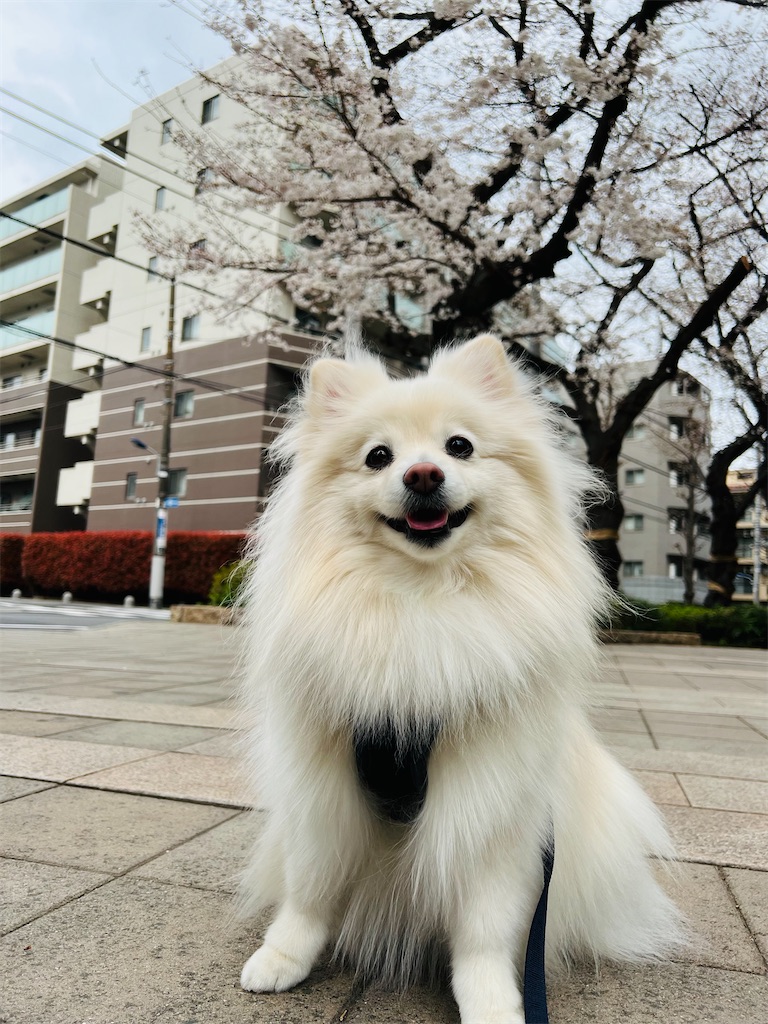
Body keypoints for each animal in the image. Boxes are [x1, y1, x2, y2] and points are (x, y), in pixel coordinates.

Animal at [236, 334, 683, 1023]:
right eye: (379, 456)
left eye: (460, 446)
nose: (423, 474)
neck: (422, 604)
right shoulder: (323, 789)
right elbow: (310, 890)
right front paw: (282, 957)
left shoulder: (491, 802)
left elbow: (484, 928)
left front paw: (493, 1002)